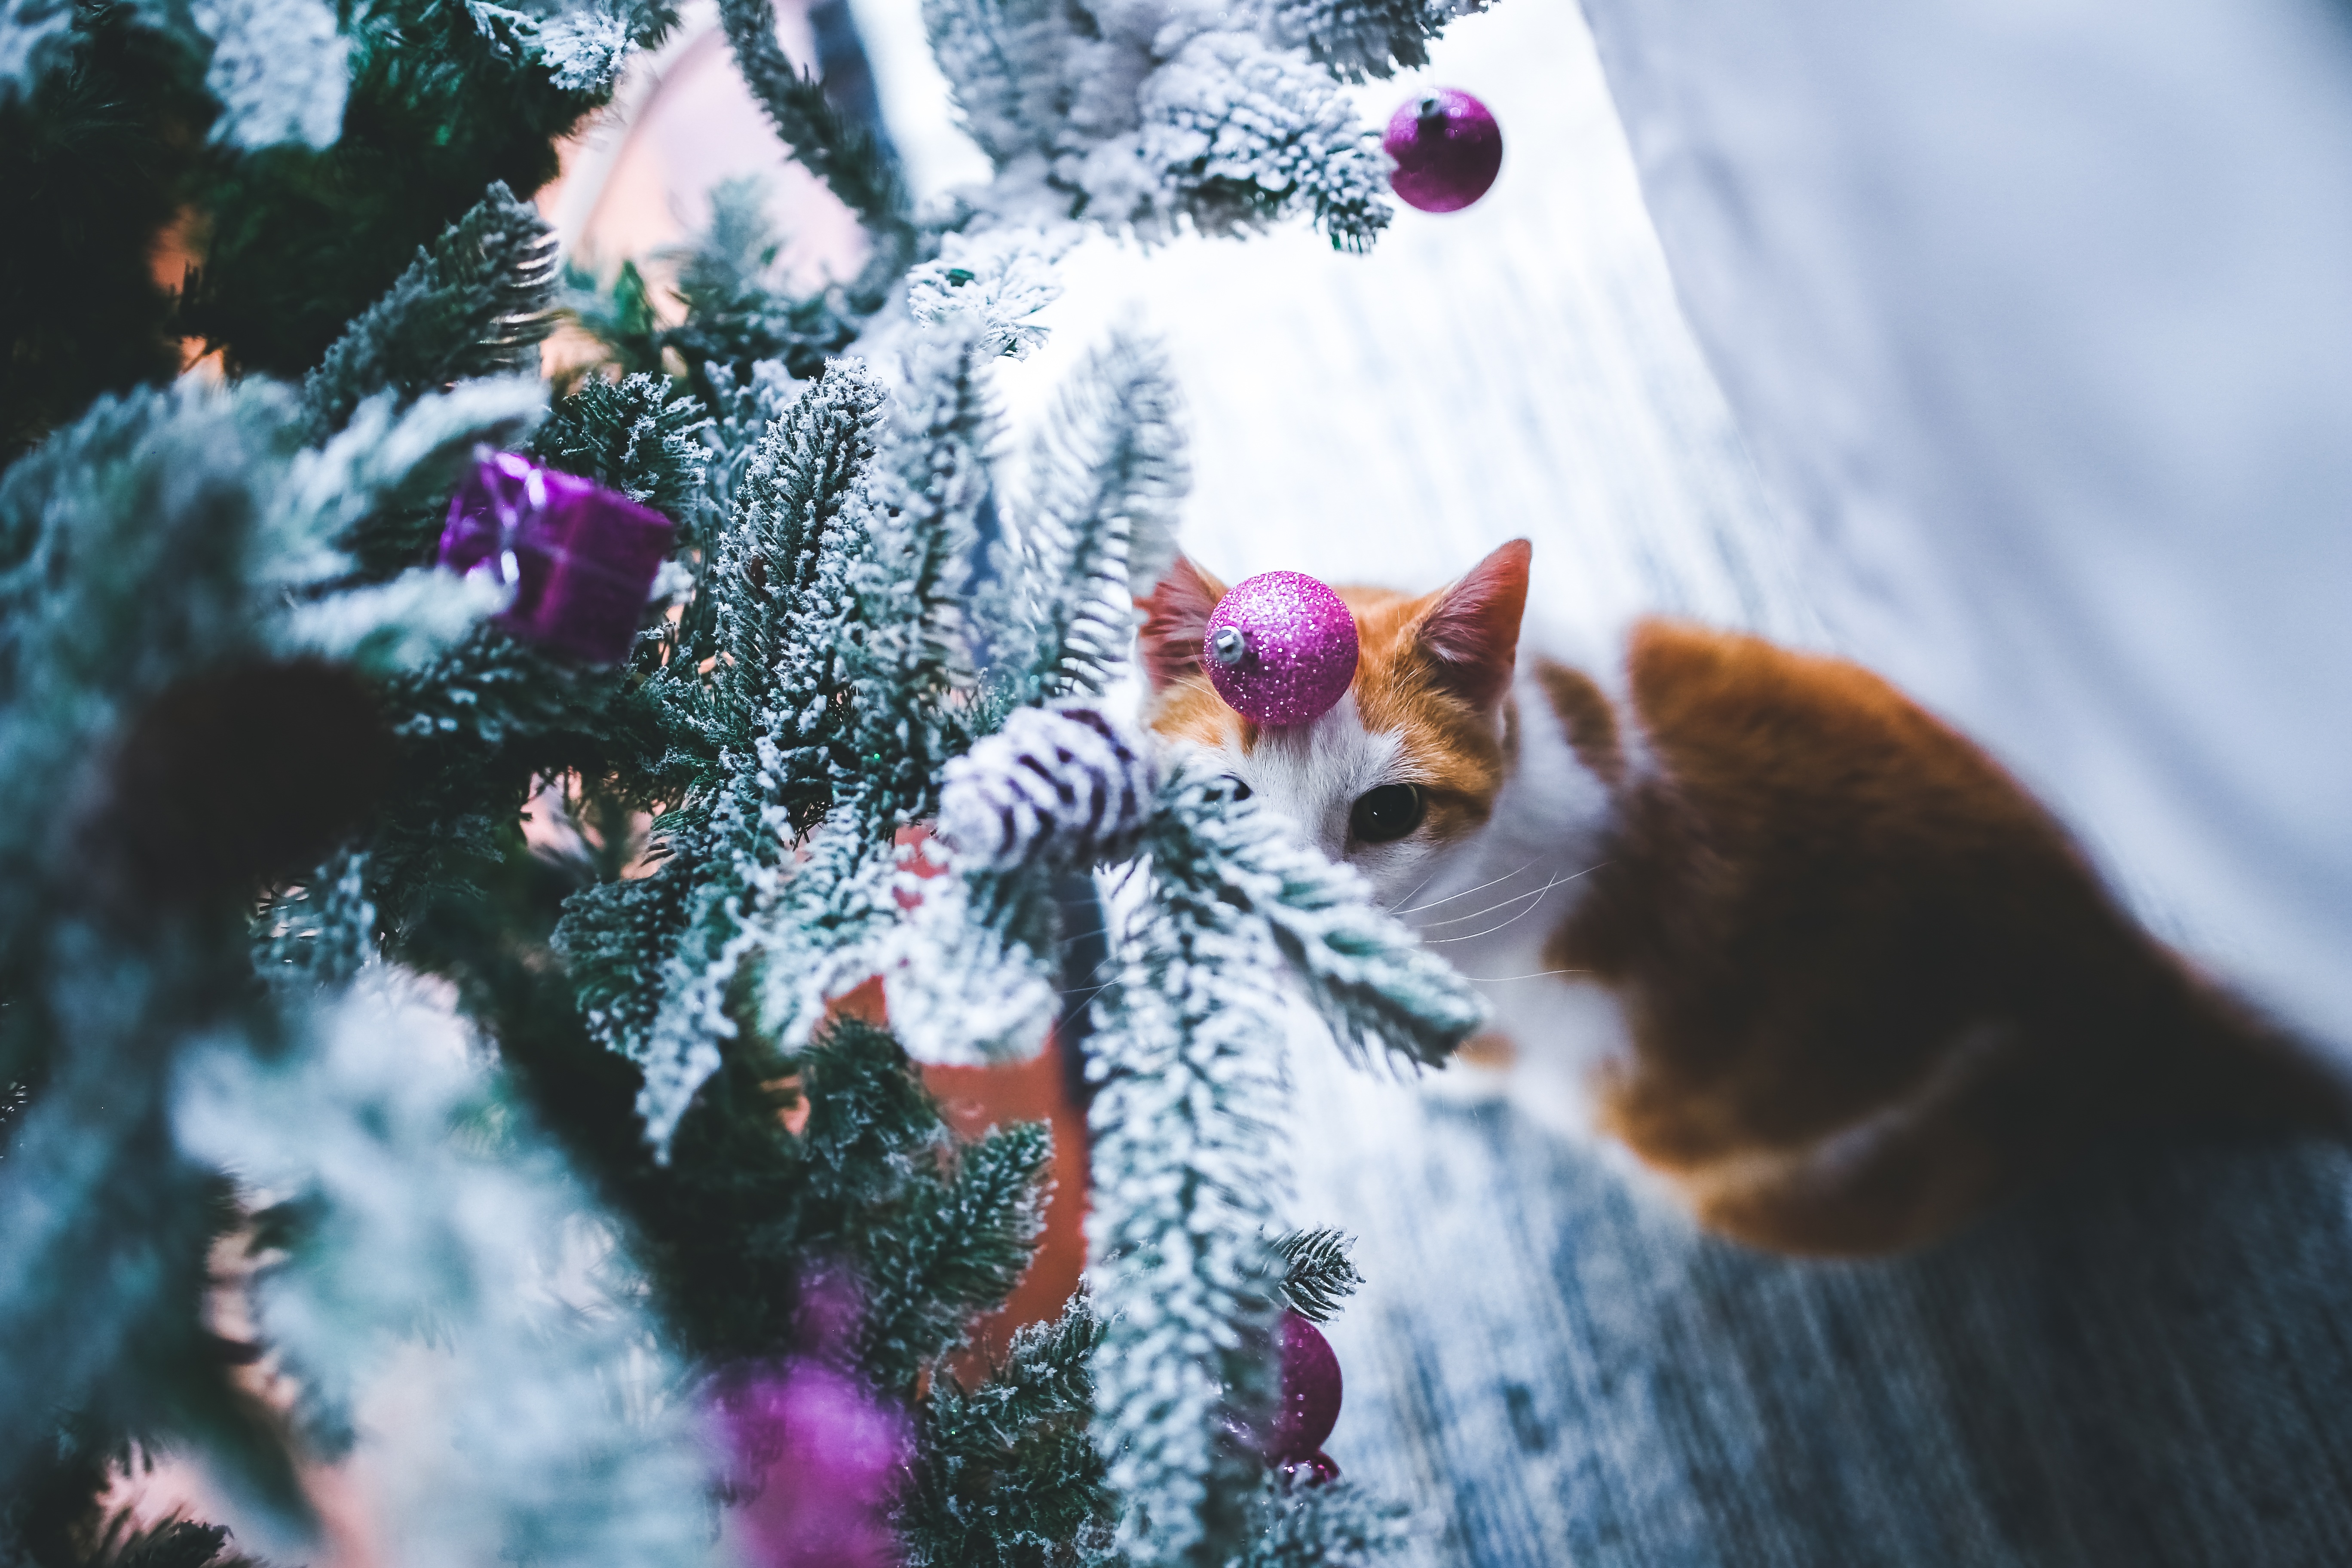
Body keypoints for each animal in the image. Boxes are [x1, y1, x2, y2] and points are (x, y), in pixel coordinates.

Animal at [1133, 545, 2333, 1260]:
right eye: (1224, 796)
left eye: (1386, 814)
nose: (1280, 912)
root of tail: (2121, 970)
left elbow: (1482, 1045)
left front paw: (1449, 1078)